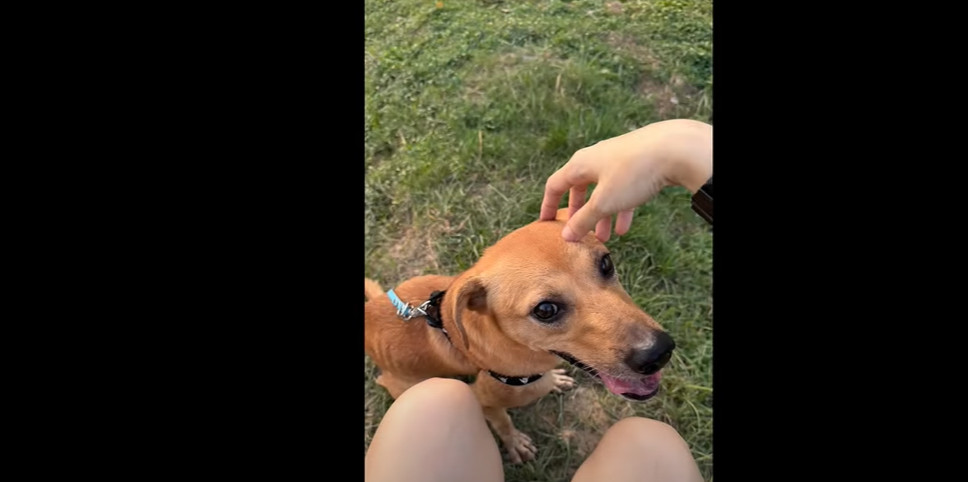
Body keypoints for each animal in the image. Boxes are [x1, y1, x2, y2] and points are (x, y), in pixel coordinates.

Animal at [364, 208, 676, 463]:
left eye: (606, 263)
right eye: (546, 310)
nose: (659, 352)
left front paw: (555, 380)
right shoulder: (484, 400)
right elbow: (502, 422)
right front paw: (514, 443)